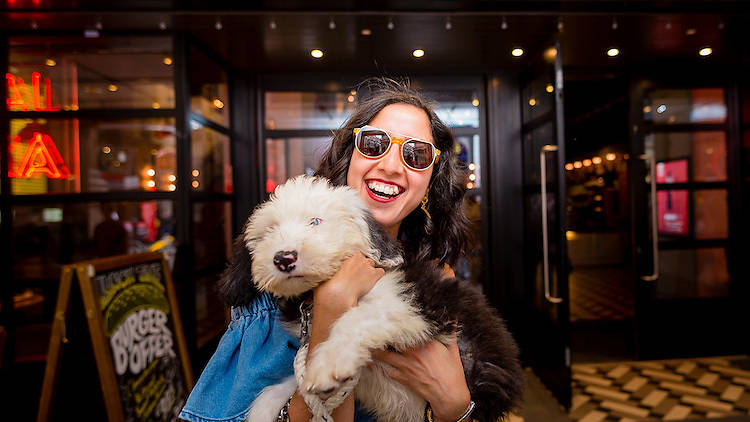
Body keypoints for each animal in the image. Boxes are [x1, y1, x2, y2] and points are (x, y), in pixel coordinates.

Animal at [220, 176, 524, 422]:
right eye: (268, 231)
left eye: (315, 222)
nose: (284, 258)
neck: (312, 297)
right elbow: (288, 383)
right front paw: (263, 409)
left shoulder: (415, 301)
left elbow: (359, 318)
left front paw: (329, 364)